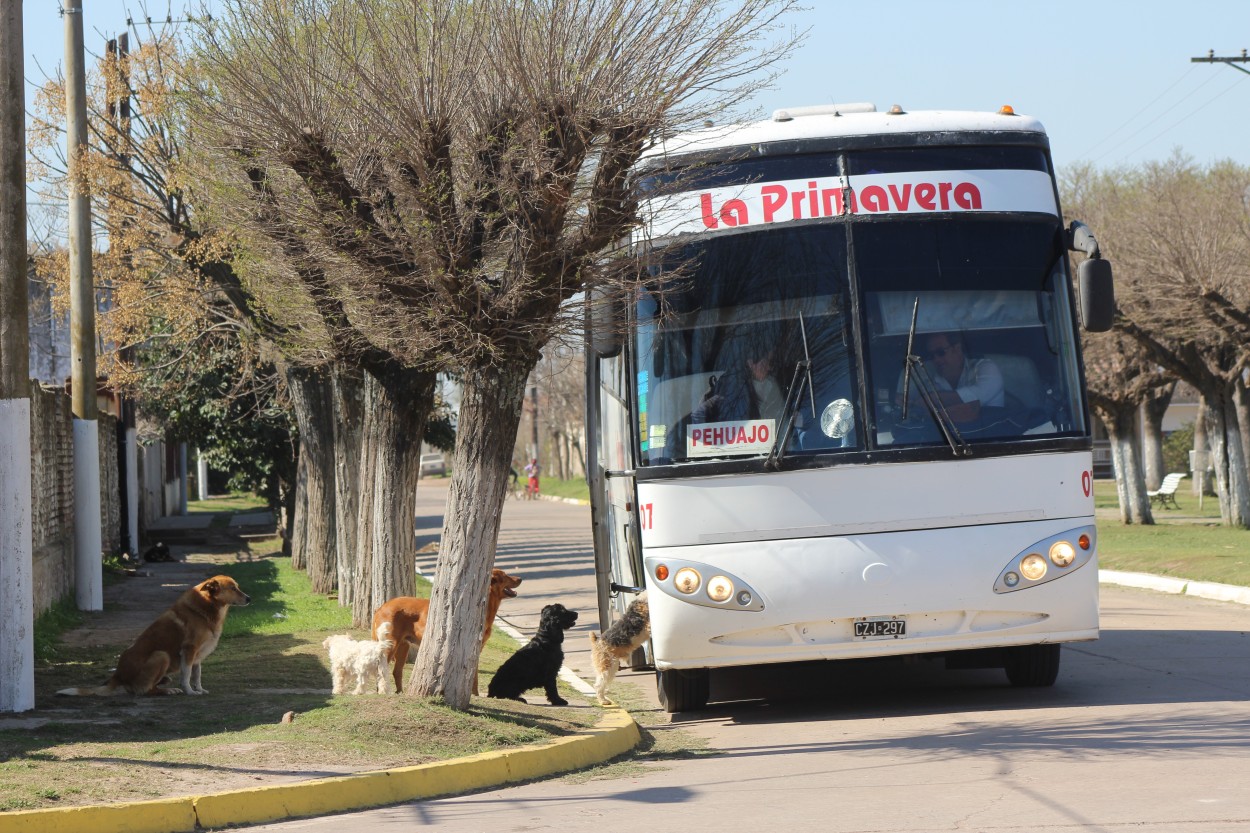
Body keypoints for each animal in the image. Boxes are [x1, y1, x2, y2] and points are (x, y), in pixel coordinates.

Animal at [58, 570, 251, 695]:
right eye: (233, 589)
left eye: (237, 587)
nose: (249, 598)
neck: (207, 607)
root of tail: (118, 675)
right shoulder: (189, 650)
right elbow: (187, 675)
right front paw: (190, 691)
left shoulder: (198, 656)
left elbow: (197, 675)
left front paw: (200, 689)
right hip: (161, 655)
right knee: (146, 690)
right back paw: (168, 690)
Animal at [367, 565, 520, 695]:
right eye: (505, 575)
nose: (520, 578)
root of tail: (381, 607)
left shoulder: (476, 650)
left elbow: (474, 678)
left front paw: (475, 695)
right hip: (391, 643)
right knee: (381, 668)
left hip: (403, 645)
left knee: (396, 671)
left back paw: (399, 692)